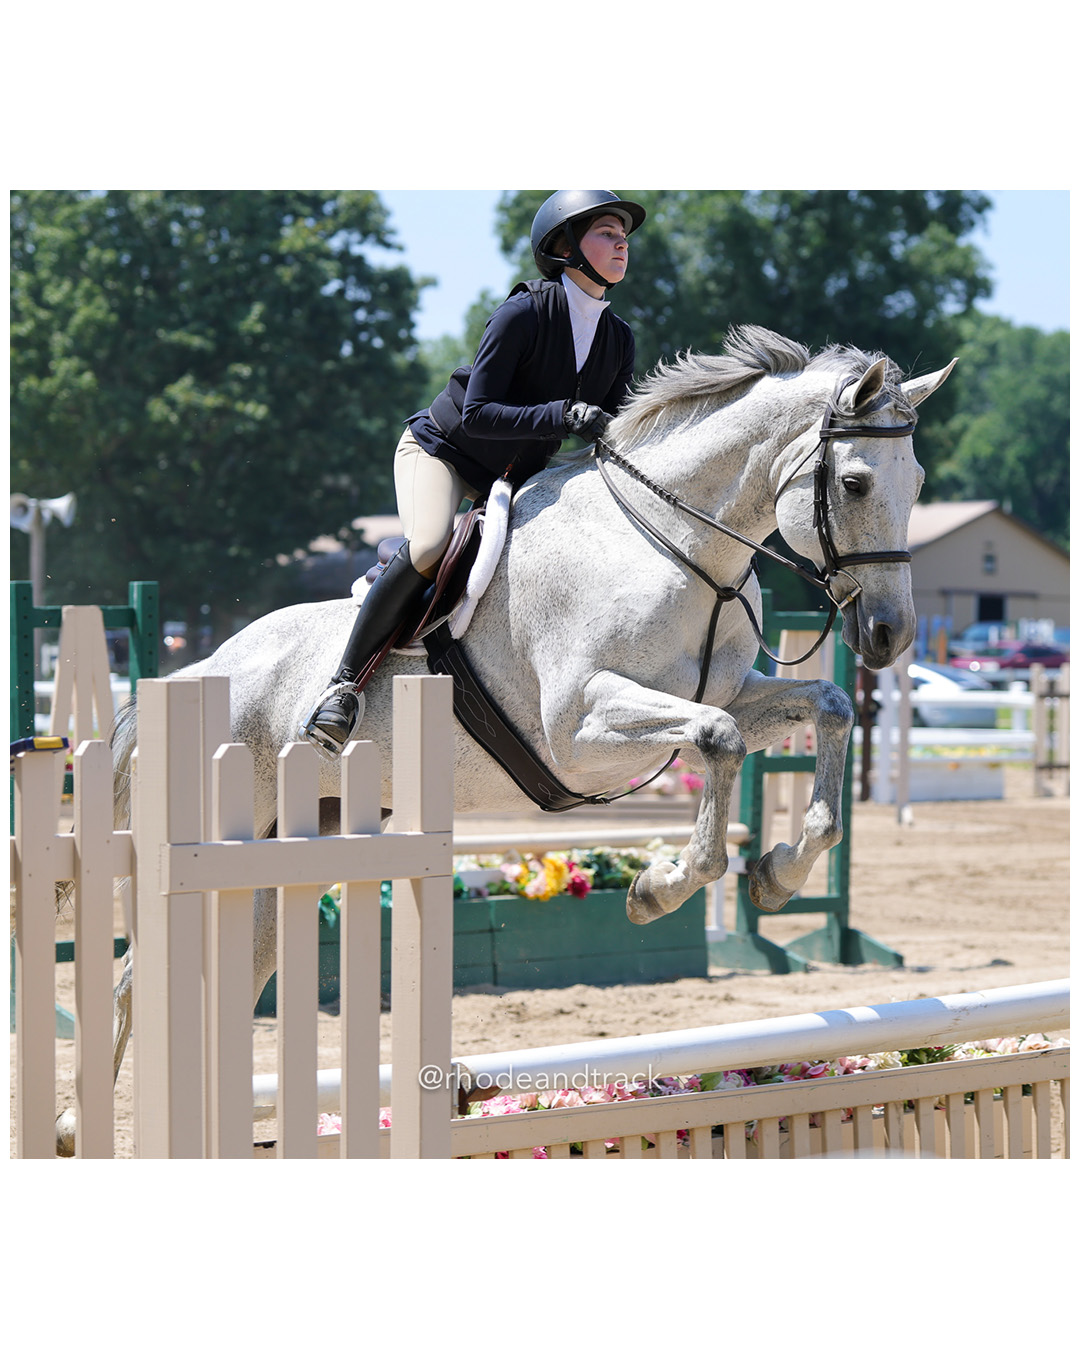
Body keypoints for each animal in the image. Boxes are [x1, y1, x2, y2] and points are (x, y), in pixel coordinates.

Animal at [56, 324, 954, 1154]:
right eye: (854, 481)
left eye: (917, 483)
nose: (887, 634)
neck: (675, 546)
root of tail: (192, 673)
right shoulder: (579, 728)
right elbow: (720, 739)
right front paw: (657, 888)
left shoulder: (732, 690)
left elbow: (825, 707)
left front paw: (775, 874)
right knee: (137, 979)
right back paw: (74, 1126)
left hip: (287, 857)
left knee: (219, 978)